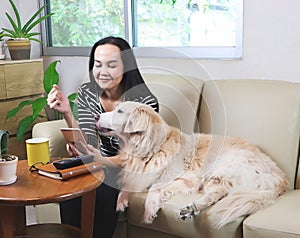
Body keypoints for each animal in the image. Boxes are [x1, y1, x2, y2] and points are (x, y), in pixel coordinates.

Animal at [96, 100, 288, 227]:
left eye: (119, 111)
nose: (97, 115)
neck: (152, 147)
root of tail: (281, 178)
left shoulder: (187, 179)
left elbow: (154, 188)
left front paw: (148, 213)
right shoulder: (138, 175)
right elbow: (128, 186)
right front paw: (121, 201)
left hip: (222, 169)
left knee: (217, 194)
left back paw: (192, 208)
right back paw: (191, 209)